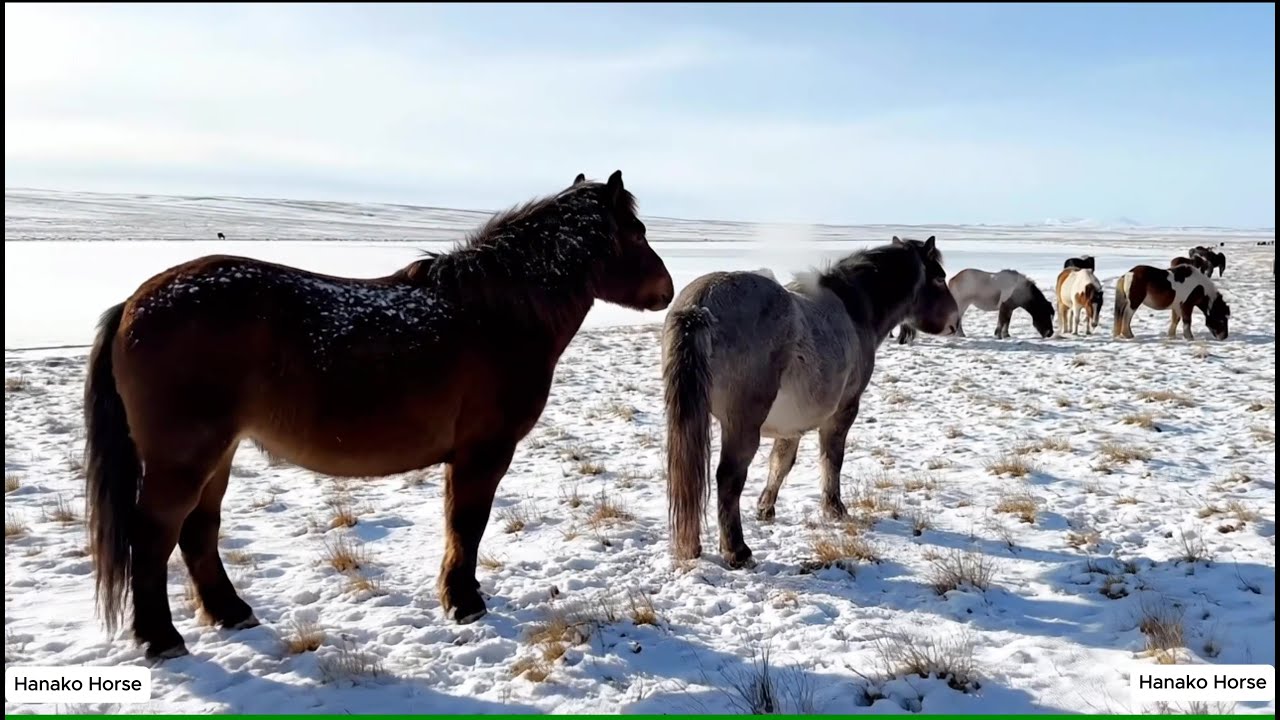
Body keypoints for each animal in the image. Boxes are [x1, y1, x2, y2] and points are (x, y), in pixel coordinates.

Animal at [83, 171, 674, 659]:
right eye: (637, 229)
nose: (667, 290)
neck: (496, 315)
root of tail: (134, 302)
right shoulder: (483, 452)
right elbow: (468, 525)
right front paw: (464, 603)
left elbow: (462, 524)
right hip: (185, 458)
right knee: (154, 536)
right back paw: (161, 637)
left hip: (218, 454)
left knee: (198, 532)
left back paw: (231, 613)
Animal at [661, 237, 960, 567]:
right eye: (939, 278)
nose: (955, 322)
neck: (855, 311)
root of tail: (701, 304)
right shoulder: (843, 412)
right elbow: (832, 460)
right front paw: (834, 509)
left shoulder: (790, 426)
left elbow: (781, 463)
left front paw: (765, 508)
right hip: (741, 426)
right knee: (728, 478)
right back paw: (737, 551)